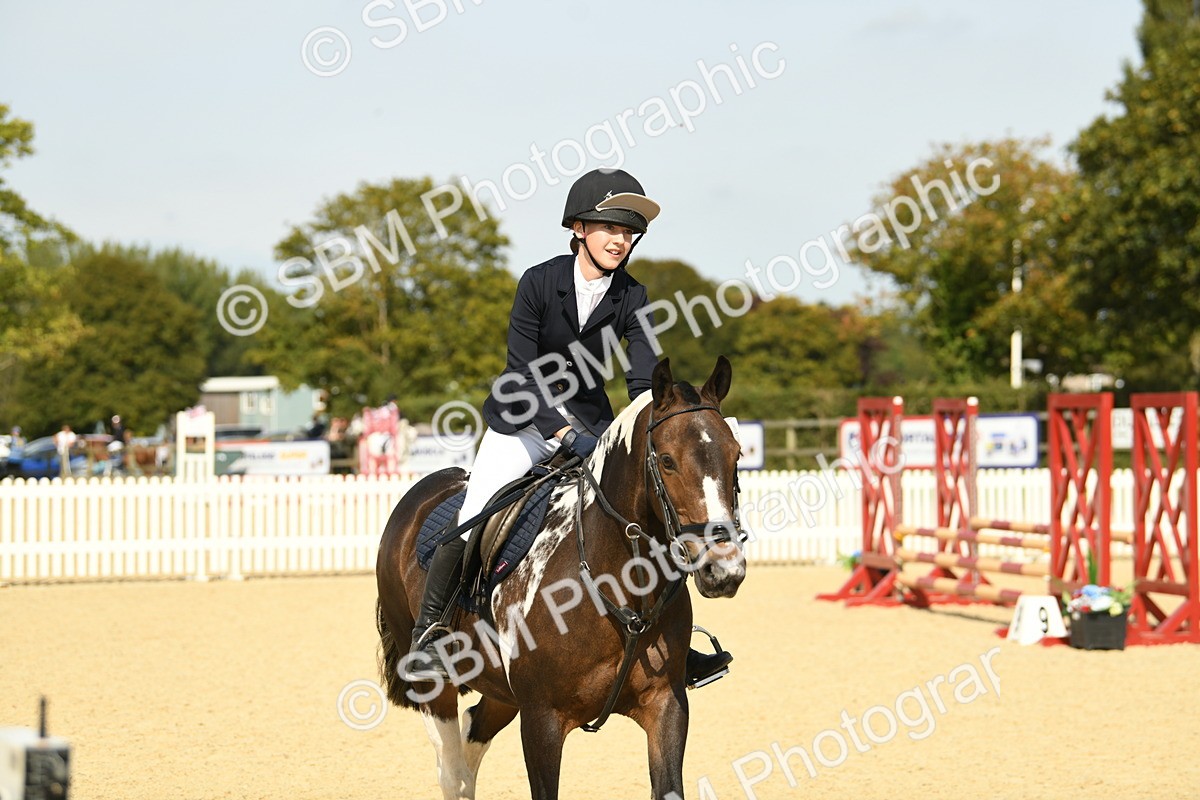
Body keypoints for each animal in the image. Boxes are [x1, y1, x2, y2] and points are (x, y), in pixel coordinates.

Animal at [375, 356, 748, 800]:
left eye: (736, 455)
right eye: (668, 460)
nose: (723, 568)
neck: (616, 585)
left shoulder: (666, 706)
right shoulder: (542, 720)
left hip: (502, 693)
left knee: (470, 741)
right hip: (435, 686)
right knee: (452, 771)